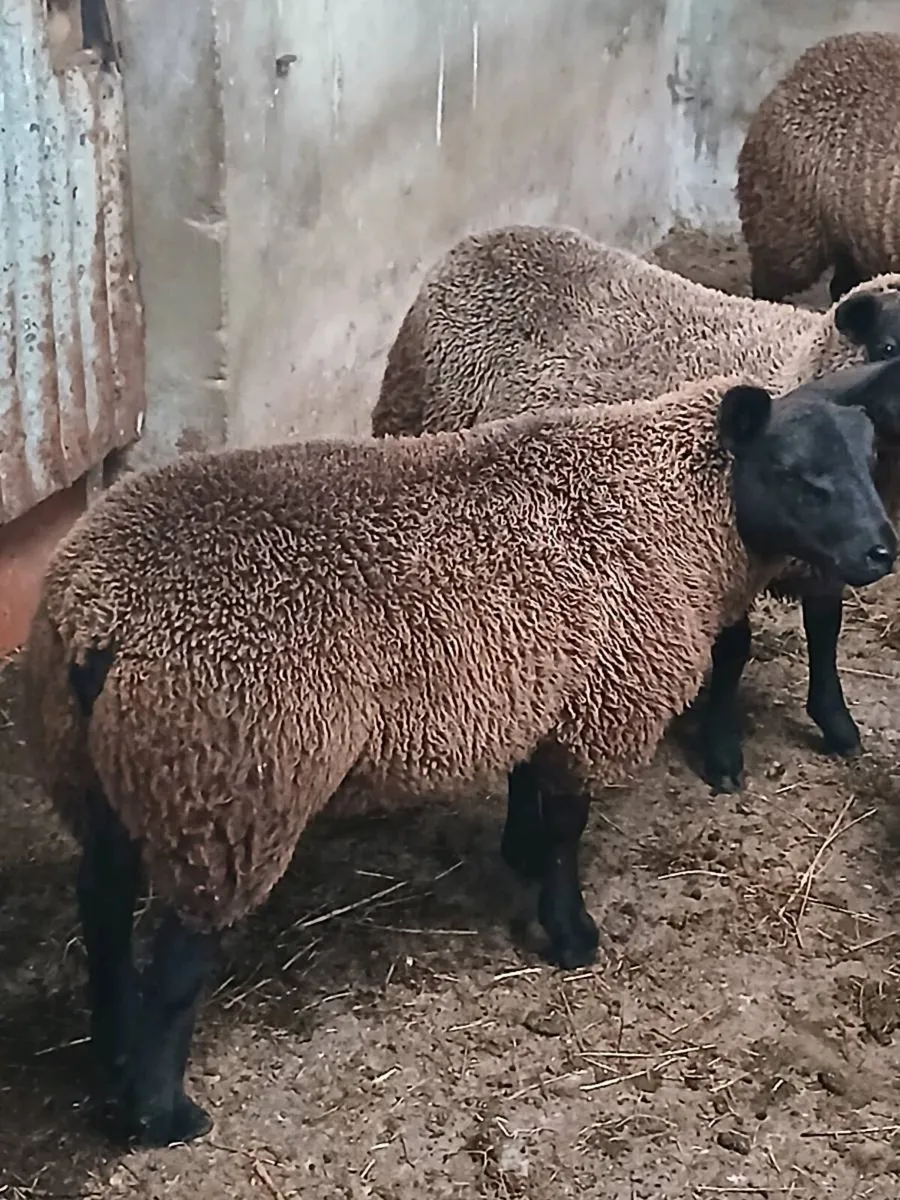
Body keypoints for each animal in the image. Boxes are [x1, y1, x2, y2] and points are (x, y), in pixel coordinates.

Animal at [20, 370, 897, 1148]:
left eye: (868, 455)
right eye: (797, 473)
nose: (881, 551)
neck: (670, 504)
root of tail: (101, 616)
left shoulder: (544, 686)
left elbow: (530, 786)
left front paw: (520, 853)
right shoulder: (603, 698)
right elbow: (569, 826)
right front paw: (571, 934)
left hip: (102, 769)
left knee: (102, 906)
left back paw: (113, 1050)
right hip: (228, 786)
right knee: (179, 957)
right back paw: (161, 1113)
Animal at [371, 224, 900, 791]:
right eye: (888, 346)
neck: (794, 365)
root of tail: (487, 237)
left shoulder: (826, 551)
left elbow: (826, 630)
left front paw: (836, 723)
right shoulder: (717, 552)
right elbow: (734, 649)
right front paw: (722, 751)